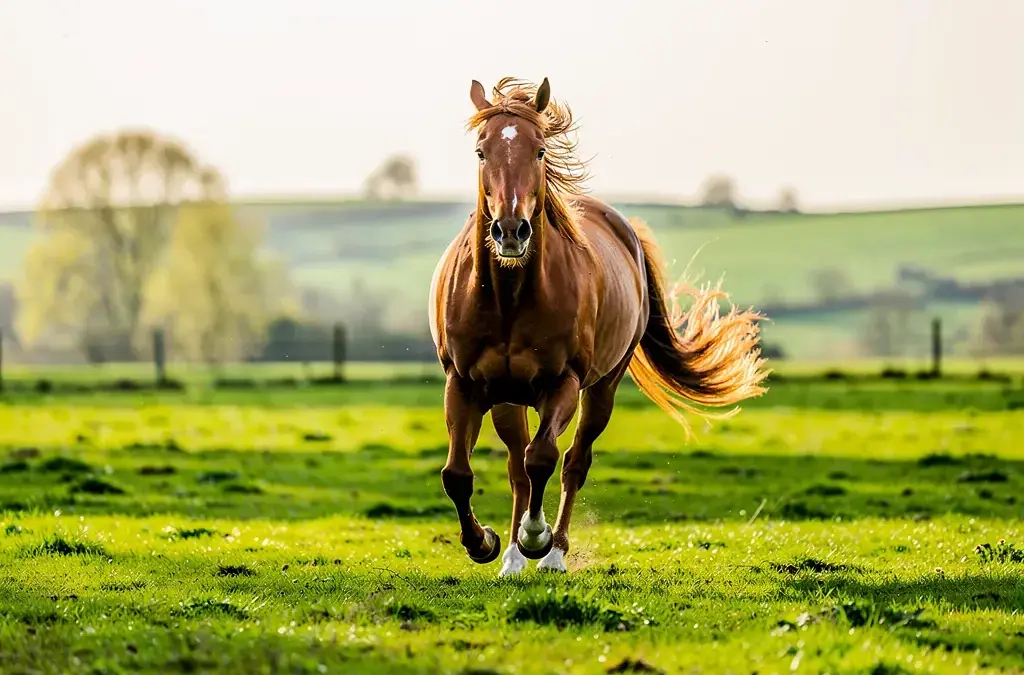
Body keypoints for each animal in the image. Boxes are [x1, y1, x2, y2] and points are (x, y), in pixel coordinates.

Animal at [428, 77, 770, 576]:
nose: (511, 230)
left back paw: (552, 553)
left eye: (540, 151)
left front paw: (536, 537)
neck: (509, 297)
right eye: (481, 151)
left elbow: (544, 458)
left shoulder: (564, 383)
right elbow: (457, 474)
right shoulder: (464, 383)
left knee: (571, 462)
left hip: (602, 387)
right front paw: (484, 543)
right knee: (515, 467)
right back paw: (511, 558)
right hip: (507, 397)